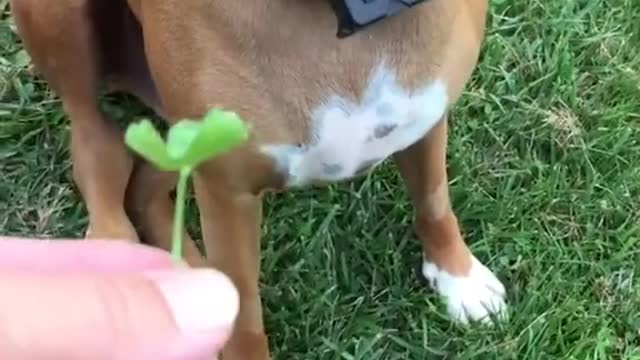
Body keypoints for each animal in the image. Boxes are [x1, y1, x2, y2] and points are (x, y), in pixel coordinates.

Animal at [7, 0, 502, 358]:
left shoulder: (426, 113)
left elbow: (434, 201)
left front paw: (459, 275)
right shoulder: (228, 193)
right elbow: (245, 316)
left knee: (145, 183)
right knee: (96, 146)